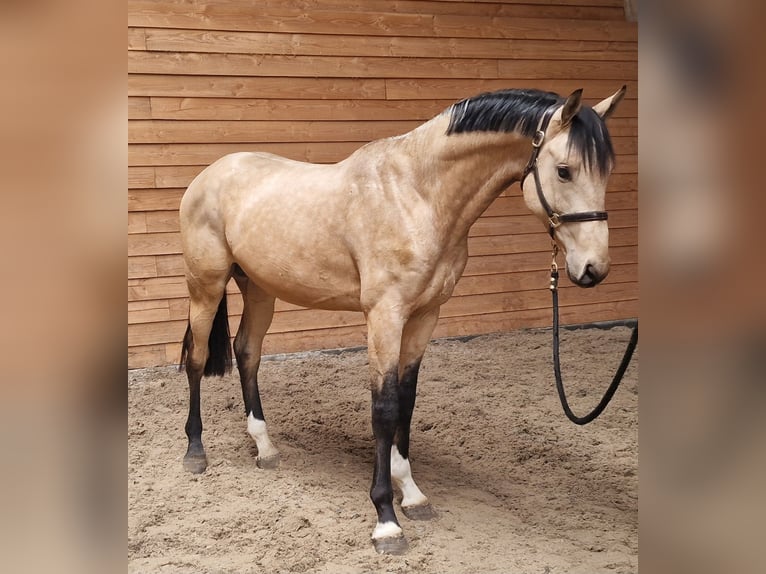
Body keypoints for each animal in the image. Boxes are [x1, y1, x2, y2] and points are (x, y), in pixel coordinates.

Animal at [178, 86, 626, 554]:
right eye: (564, 171)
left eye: (607, 171)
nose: (594, 268)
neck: (417, 196)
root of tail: (210, 174)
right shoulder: (384, 316)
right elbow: (384, 407)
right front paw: (386, 520)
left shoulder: (425, 316)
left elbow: (406, 403)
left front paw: (411, 494)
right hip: (205, 286)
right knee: (196, 358)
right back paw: (195, 452)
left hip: (260, 289)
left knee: (247, 352)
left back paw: (265, 448)